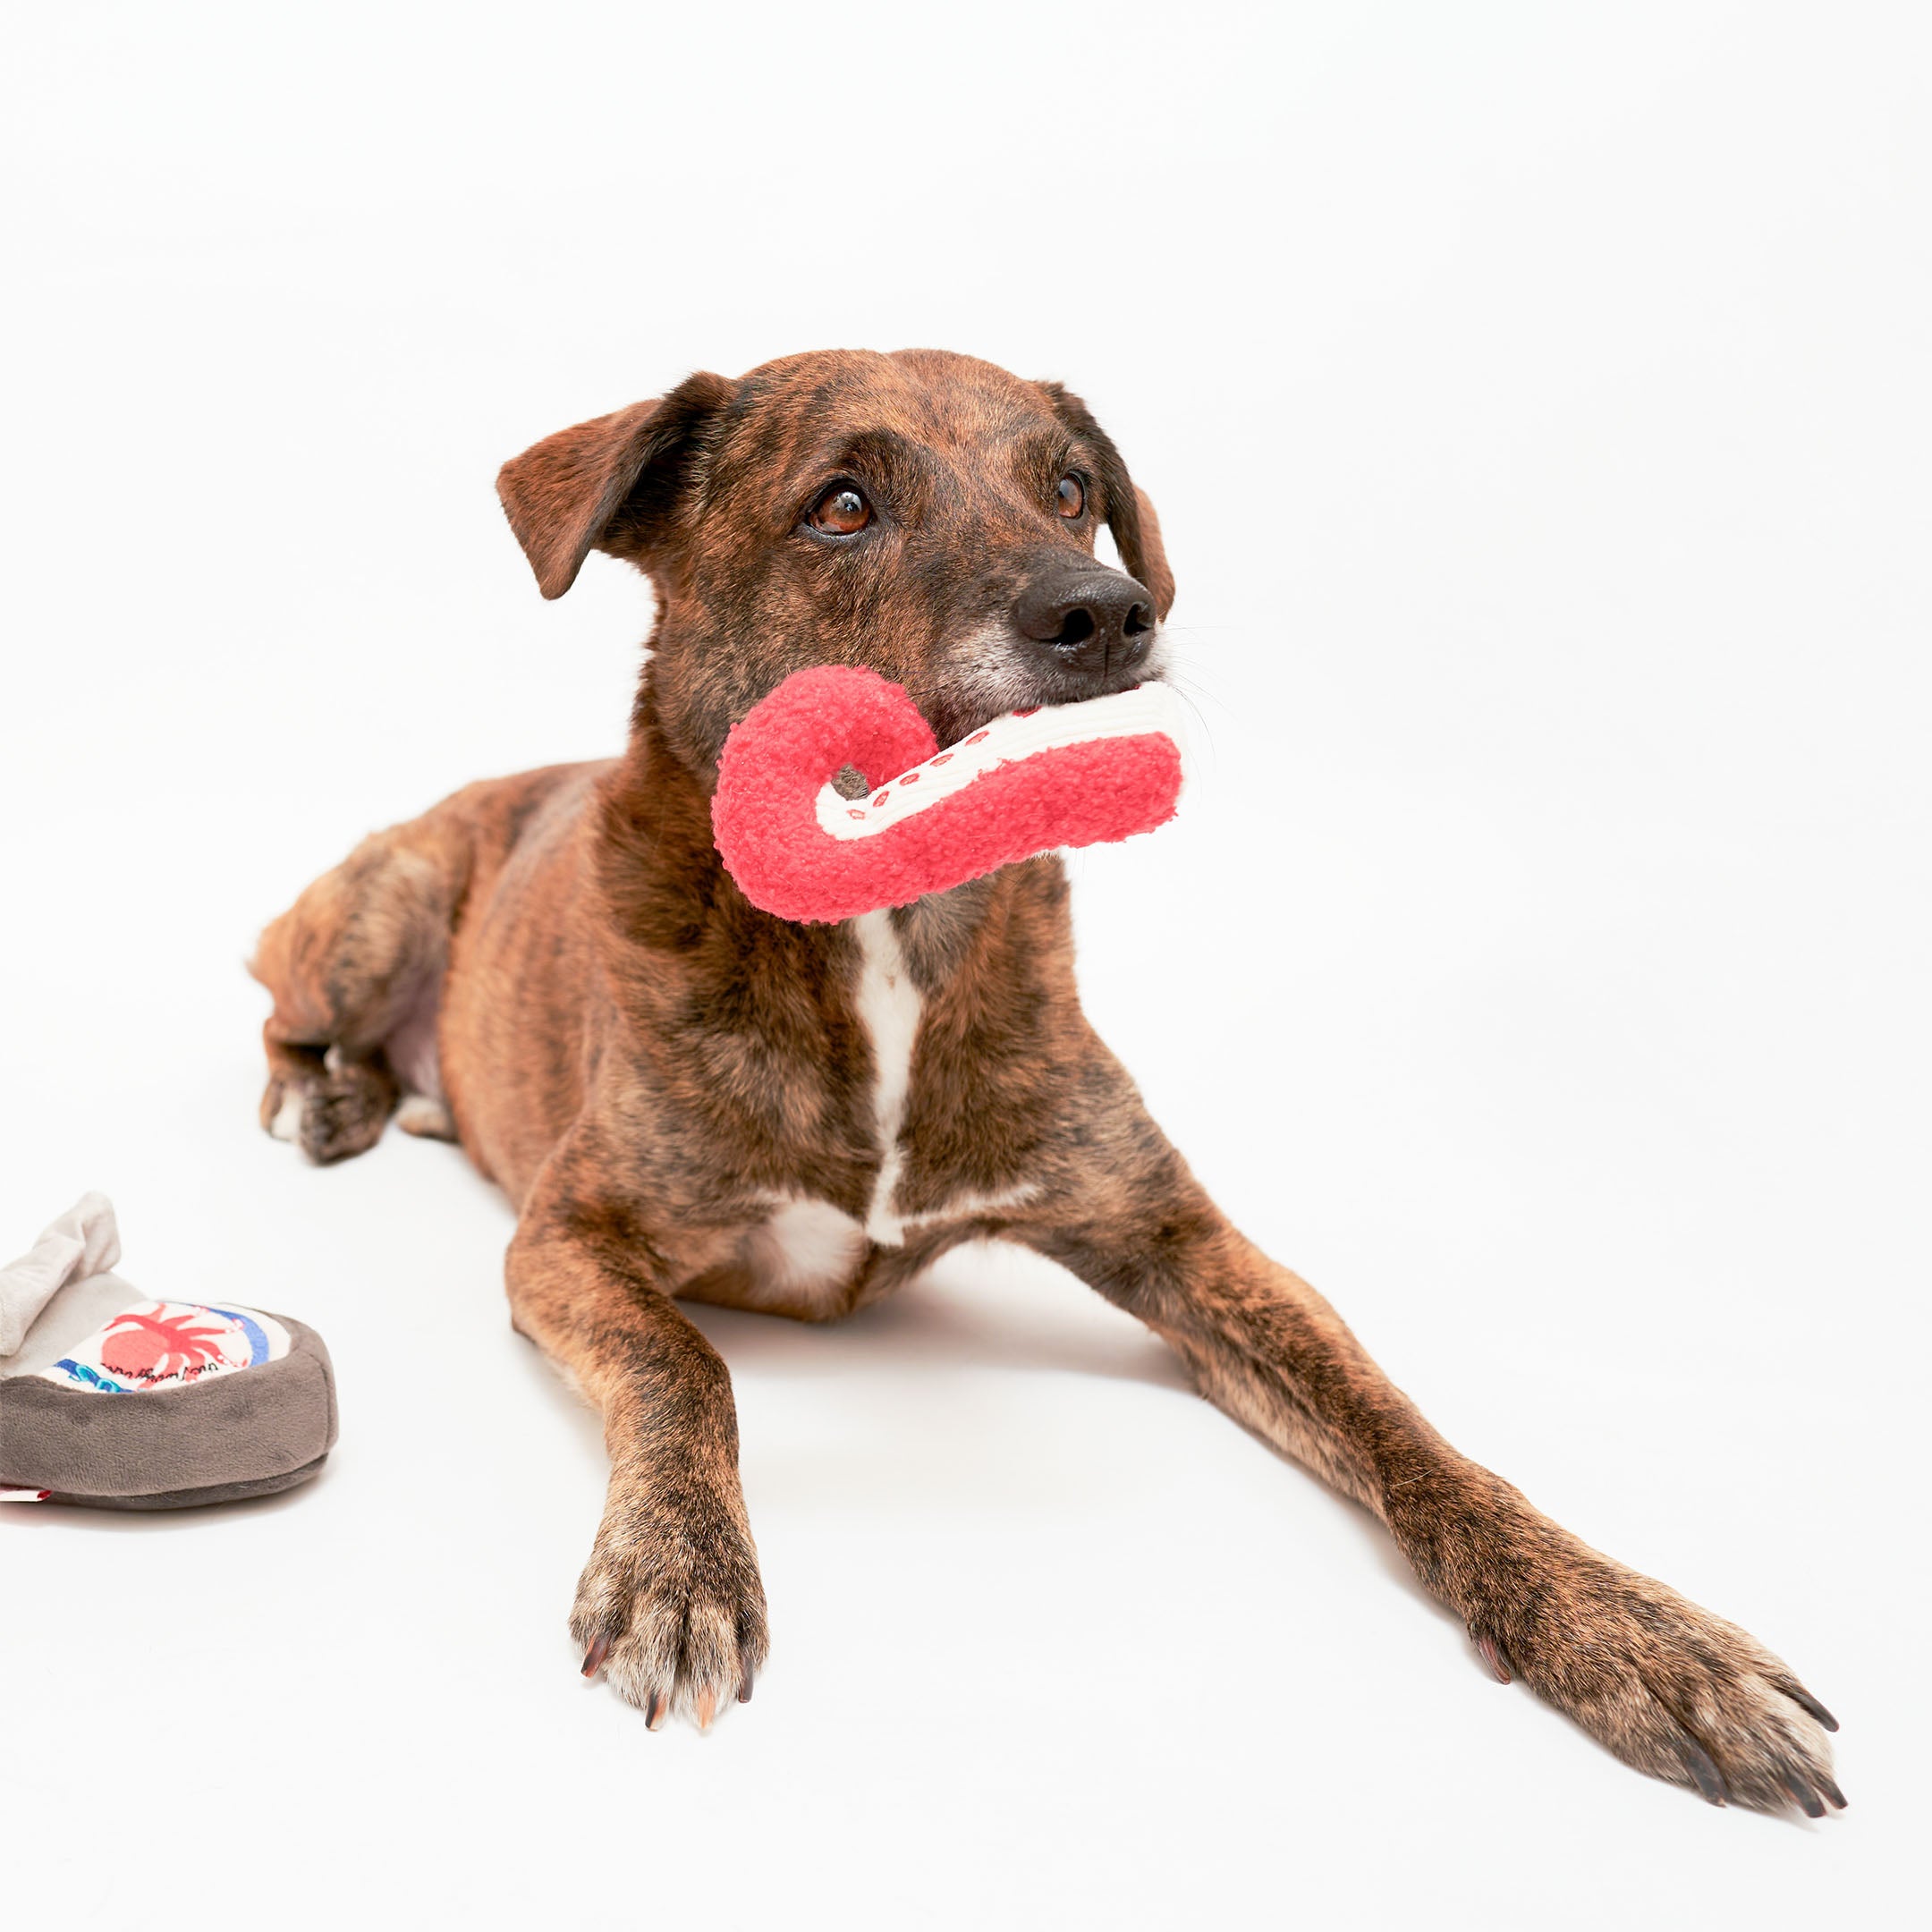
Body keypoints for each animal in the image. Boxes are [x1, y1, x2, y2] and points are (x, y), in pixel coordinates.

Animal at [252, 352, 1839, 1808]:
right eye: (841, 505)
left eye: (1072, 491)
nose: (1108, 611)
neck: (894, 934)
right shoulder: (569, 1234)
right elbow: (685, 1362)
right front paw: (679, 1568)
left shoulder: (1179, 1240)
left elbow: (1407, 1430)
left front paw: (1632, 1634)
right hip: (374, 909)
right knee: (282, 1005)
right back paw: (326, 1094)